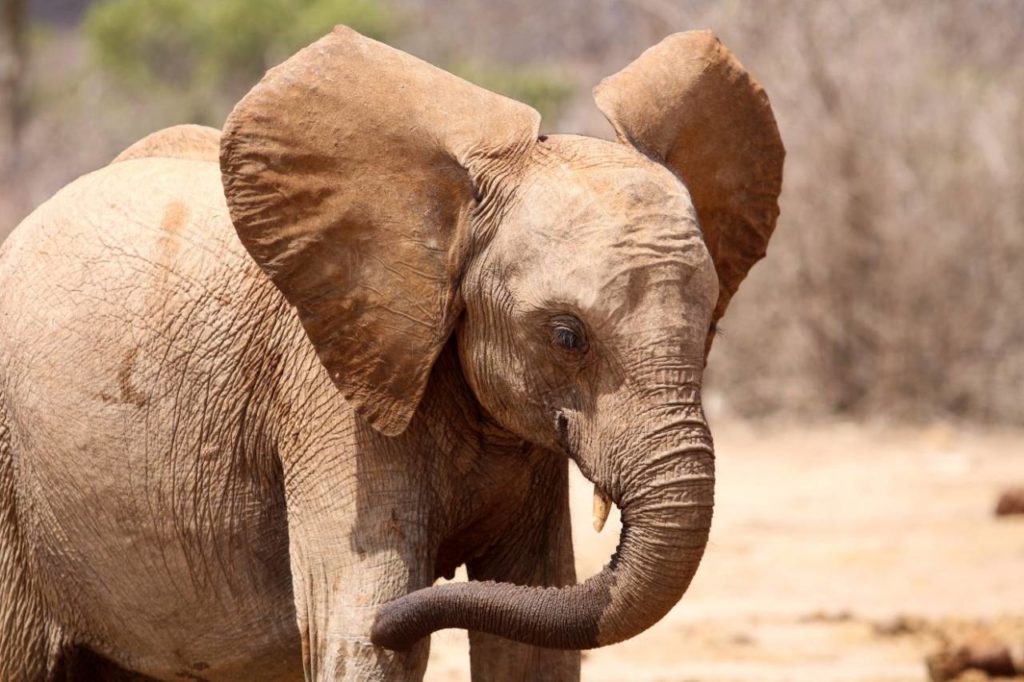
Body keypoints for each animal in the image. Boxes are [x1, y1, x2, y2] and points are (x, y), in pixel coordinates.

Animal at [0, 23, 778, 679]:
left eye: (708, 326)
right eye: (567, 336)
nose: (405, 613)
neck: (453, 208)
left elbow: (531, 644)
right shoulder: (327, 394)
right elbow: (359, 642)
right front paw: (382, 626)